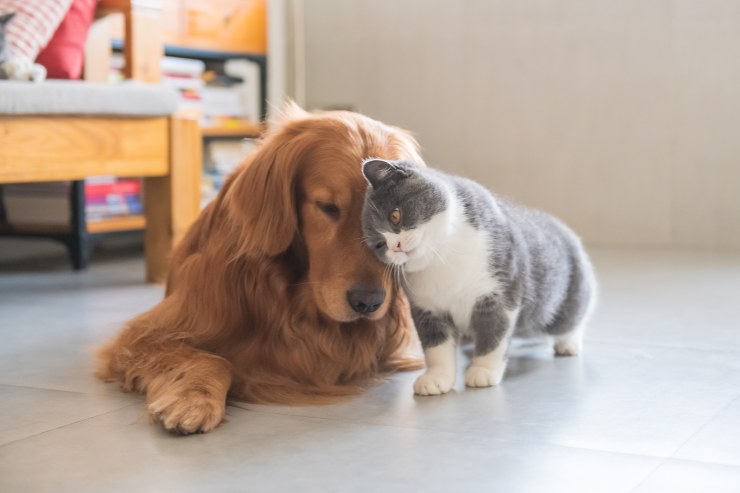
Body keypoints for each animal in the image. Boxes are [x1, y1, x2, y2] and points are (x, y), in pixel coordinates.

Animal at [95, 103, 424, 430]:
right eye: (328, 207)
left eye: (393, 217)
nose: (368, 303)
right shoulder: (147, 333)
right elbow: (215, 359)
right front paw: (193, 398)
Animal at [362, 160, 600, 394]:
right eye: (380, 245)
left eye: (395, 216)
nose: (396, 246)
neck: (442, 256)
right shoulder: (427, 308)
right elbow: (436, 345)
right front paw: (437, 377)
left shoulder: (500, 292)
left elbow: (493, 333)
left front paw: (483, 371)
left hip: (569, 292)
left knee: (574, 316)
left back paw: (568, 343)